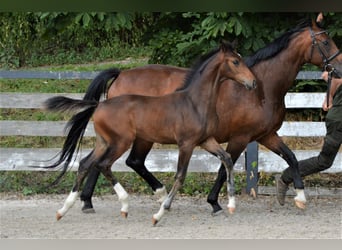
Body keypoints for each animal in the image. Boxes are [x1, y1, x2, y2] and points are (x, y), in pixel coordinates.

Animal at [43, 41, 256, 225]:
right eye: (235, 61)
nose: (253, 83)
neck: (195, 102)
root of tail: (99, 105)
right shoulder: (186, 144)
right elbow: (180, 176)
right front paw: (159, 214)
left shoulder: (206, 140)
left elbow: (227, 159)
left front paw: (230, 205)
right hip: (121, 142)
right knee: (104, 164)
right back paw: (124, 205)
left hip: (104, 142)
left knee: (85, 164)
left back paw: (64, 209)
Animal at [79, 13, 340, 214]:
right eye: (326, 41)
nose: (338, 69)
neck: (263, 87)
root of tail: (120, 75)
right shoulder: (240, 138)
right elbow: (224, 169)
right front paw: (215, 202)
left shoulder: (266, 136)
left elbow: (292, 158)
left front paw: (299, 196)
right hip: (136, 137)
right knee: (124, 161)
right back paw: (153, 194)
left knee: (103, 161)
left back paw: (87, 201)